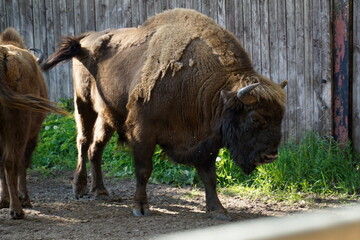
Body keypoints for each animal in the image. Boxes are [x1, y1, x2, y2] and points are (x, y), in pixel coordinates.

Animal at [0, 27, 67, 219]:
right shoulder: (31, 135)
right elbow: (22, 163)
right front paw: (25, 199)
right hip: (19, 129)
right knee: (12, 162)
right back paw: (17, 210)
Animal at [43, 8, 286, 220]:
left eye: (281, 117)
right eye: (254, 117)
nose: (271, 156)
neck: (212, 88)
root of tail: (85, 40)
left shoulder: (205, 140)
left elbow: (209, 177)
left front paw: (218, 211)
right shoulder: (143, 133)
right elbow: (144, 170)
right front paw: (141, 207)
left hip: (107, 116)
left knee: (97, 148)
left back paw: (101, 191)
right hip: (83, 104)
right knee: (83, 142)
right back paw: (79, 189)